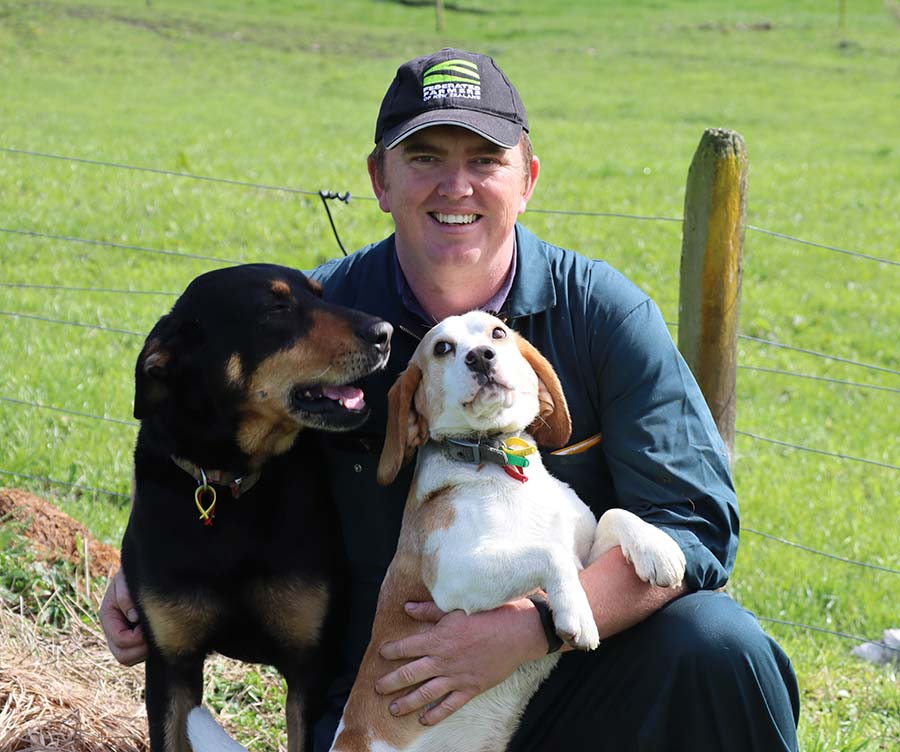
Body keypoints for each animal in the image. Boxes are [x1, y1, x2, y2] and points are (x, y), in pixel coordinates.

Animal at [119, 262, 390, 752]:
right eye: (275, 308)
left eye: (320, 294)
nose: (385, 333)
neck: (231, 484)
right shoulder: (170, 665)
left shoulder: (309, 670)